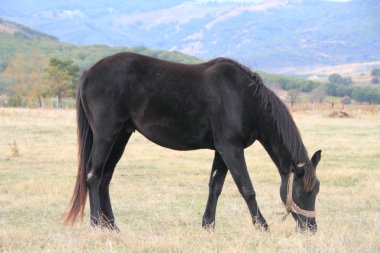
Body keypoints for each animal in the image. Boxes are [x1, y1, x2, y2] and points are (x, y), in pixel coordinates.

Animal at [64, 52, 320, 232]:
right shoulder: (231, 149)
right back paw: (96, 225)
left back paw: (112, 226)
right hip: (106, 135)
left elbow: (215, 186)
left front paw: (208, 225)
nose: (311, 229)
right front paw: (263, 227)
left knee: (105, 178)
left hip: (121, 137)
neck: (244, 98)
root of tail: (88, 73)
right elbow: (247, 189)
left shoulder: (222, 150)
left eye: (316, 191)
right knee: (93, 175)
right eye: (300, 194)